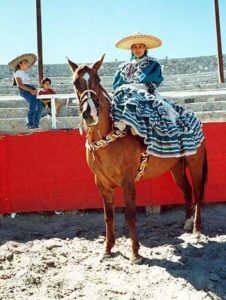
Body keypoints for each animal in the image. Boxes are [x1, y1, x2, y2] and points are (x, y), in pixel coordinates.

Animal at [67, 55, 208, 264]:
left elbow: (130, 215)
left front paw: (135, 254)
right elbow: (109, 216)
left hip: (195, 163)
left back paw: (197, 229)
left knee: (198, 192)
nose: (89, 113)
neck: (108, 135)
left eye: (98, 80)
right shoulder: (102, 183)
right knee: (187, 190)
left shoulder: (128, 182)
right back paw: (187, 223)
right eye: (75, 82)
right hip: (176, 167)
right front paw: (107, 250)